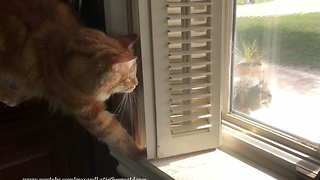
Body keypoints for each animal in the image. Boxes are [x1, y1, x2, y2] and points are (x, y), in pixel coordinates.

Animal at [0, 0, 146, 160]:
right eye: (129, 77)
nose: (137, 84)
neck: (64, 54)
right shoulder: (91, 113)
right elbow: (118, 136)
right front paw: (140, 152)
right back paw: (9, 96)